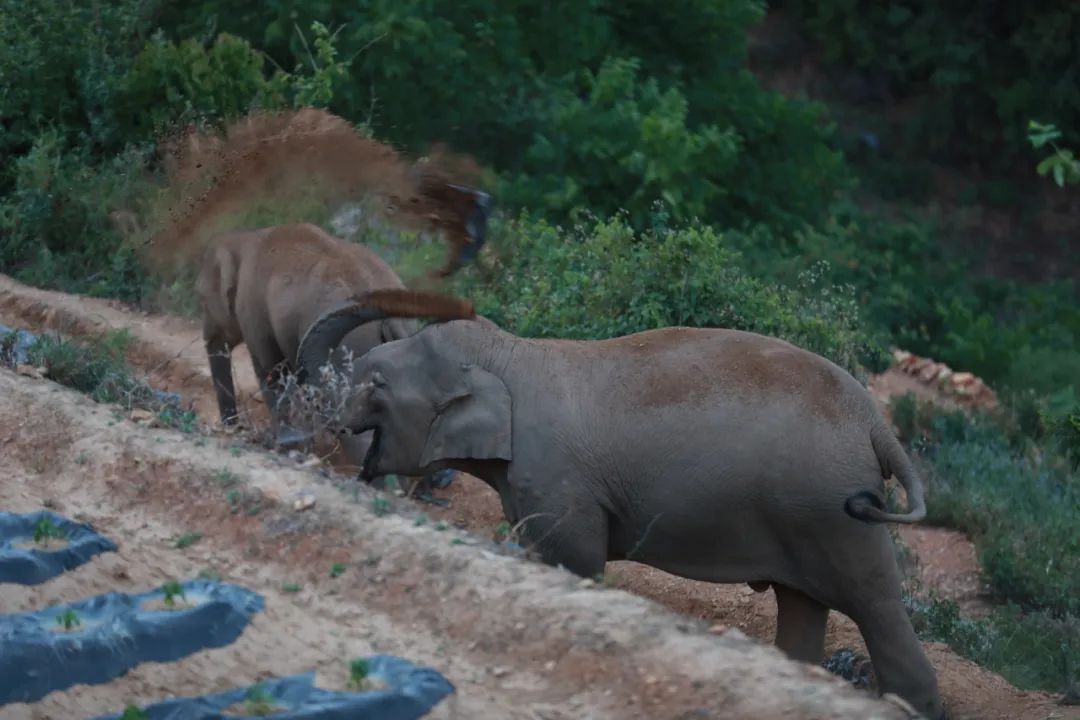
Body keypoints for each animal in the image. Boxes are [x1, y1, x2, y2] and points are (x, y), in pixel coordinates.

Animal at [295, 293, 946, 720]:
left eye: (376, 383)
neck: (513, 354)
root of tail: (877, 425)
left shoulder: (557, 479)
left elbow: (576, 562)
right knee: (804, 610)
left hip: (833, 514)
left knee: (875, 605)